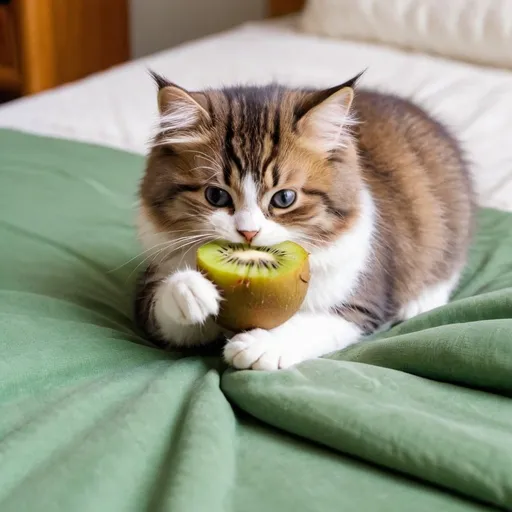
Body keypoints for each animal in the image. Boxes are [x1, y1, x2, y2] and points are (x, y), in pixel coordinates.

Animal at [134, 70, 474, 370]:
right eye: (216, 196)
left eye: (284, 198)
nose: (248, 233)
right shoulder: (152, 303)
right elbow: (169, 312)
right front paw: (190, 290)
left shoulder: (363, 303)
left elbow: (310, 323)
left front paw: (260, 344)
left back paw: (420, 302)